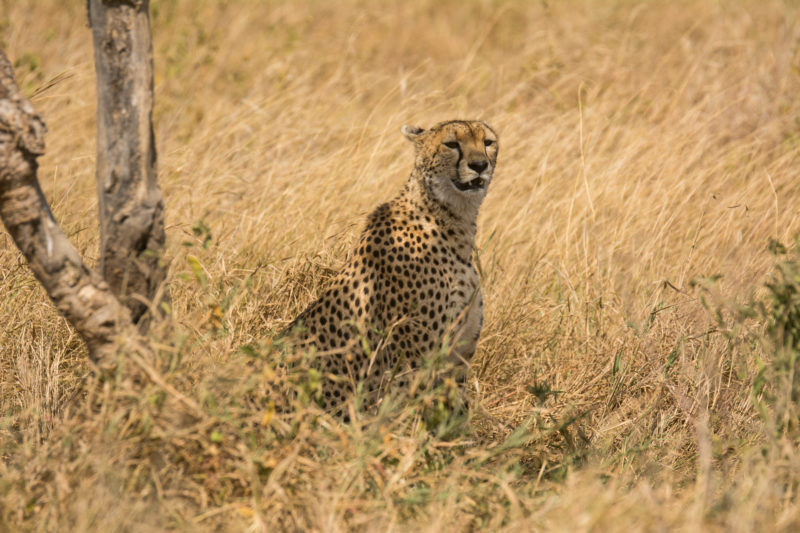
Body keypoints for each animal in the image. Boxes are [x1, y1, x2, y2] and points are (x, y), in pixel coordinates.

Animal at [286, 119, 500, 412]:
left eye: (488, 142)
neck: (453, 223)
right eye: (451, 144)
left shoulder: (457, 361)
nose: (479, 165)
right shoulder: (411, 362)